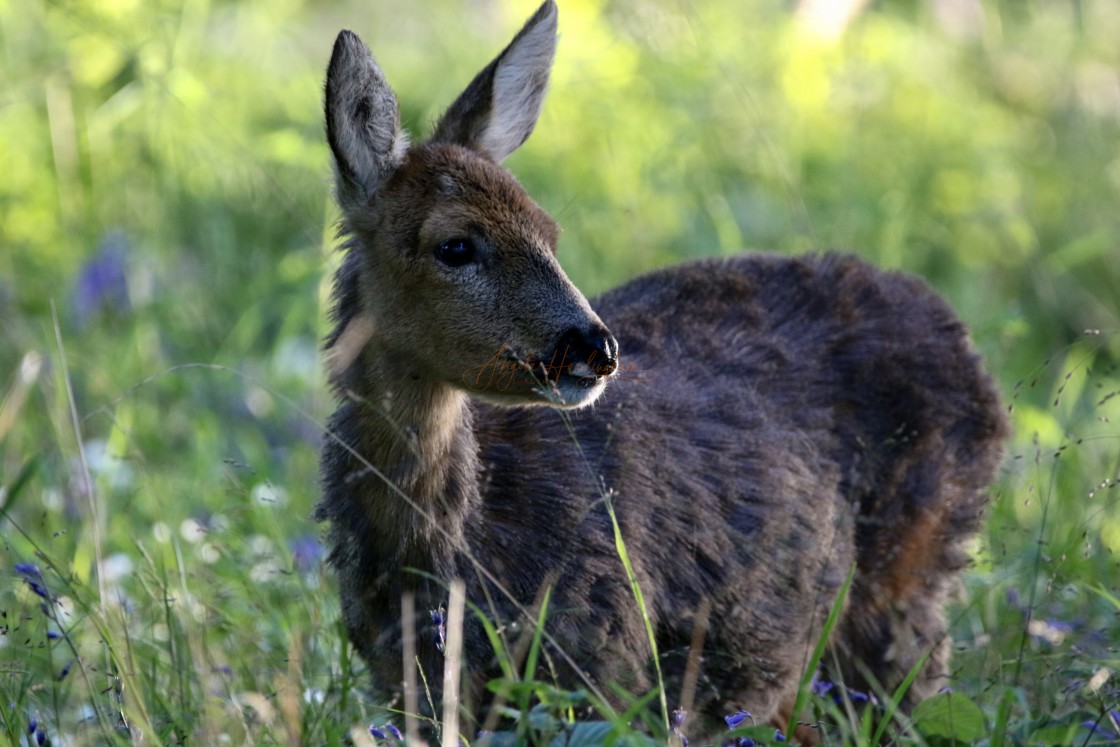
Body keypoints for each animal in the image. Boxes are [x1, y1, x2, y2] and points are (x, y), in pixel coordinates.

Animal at [313, 1, 1008, 743]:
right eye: (455, 245)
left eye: (549, 231)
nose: (593, 347)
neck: (449, 556)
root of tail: (956, 332)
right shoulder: (405, 688)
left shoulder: (604, 669)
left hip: (905, 593)